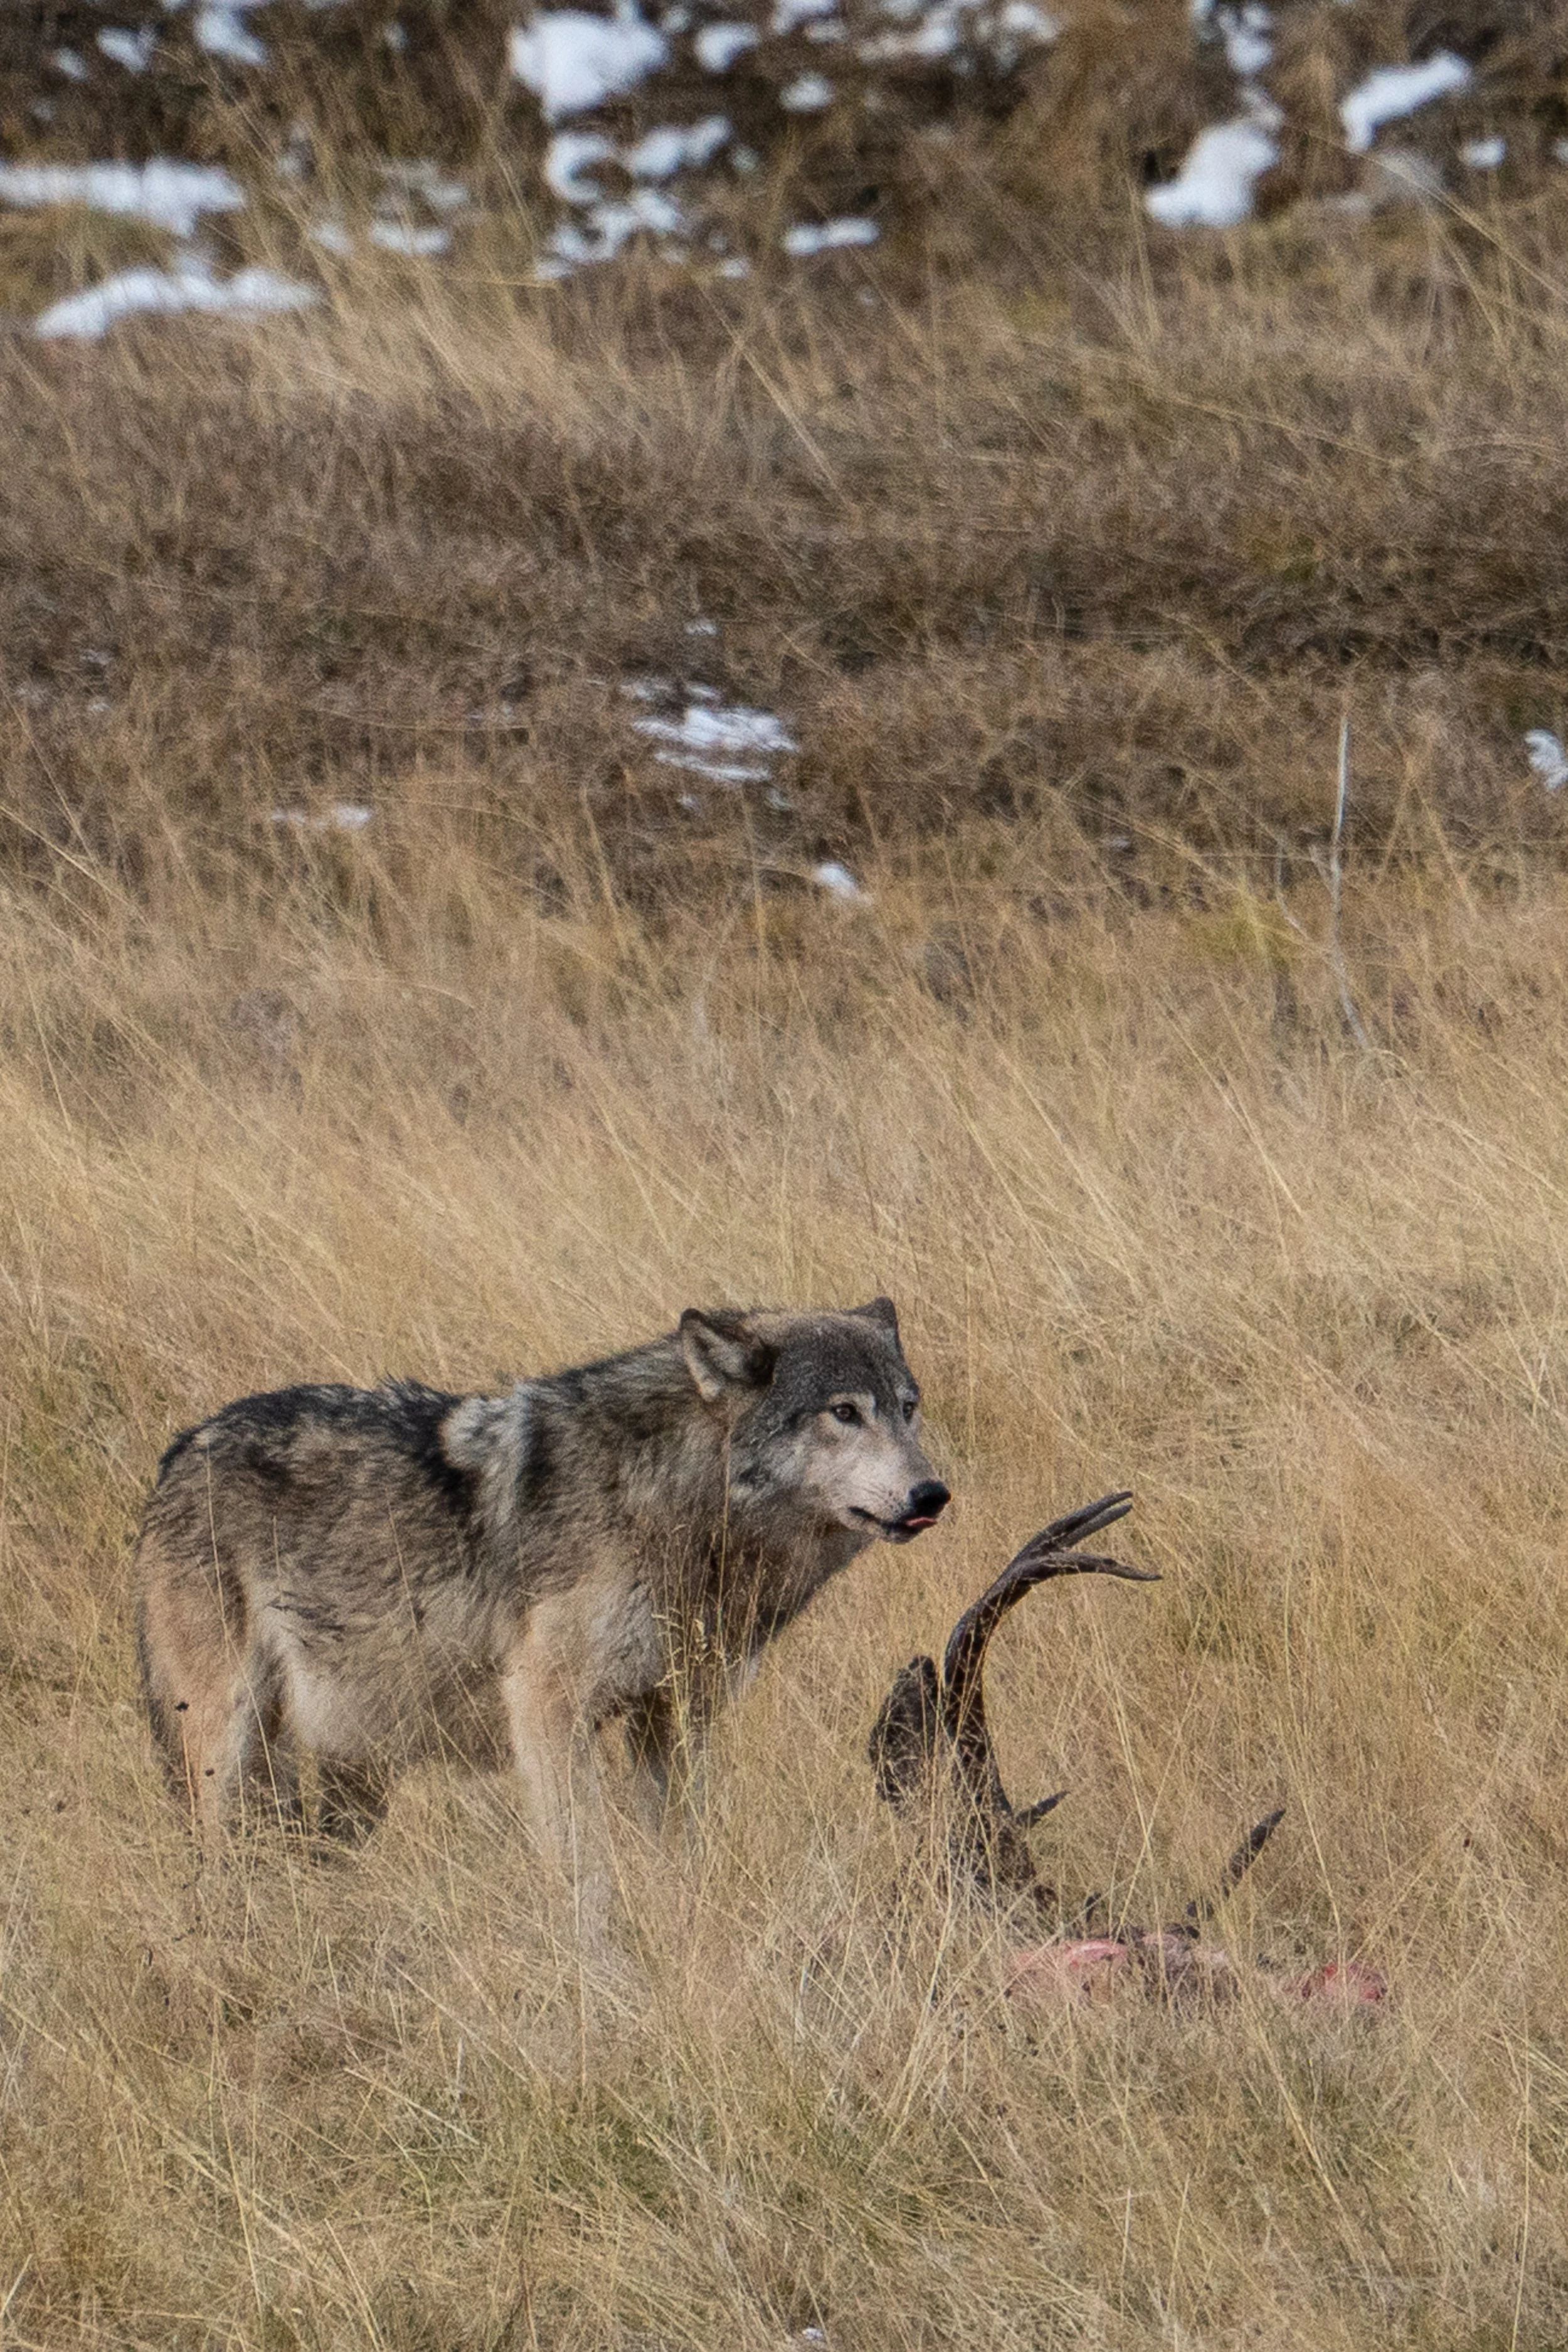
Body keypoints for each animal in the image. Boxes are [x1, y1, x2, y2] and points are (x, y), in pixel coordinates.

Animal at [134, 1299, 949, 1886]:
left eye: (908, 1407)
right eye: (844, 1411)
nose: (932, 1494)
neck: (667, 1502)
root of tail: (182, 1449)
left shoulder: (675, 1719)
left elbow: (680, 1860)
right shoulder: (547, 1711)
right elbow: (586, 1879)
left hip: (353, 1773)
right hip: (230, 1748)